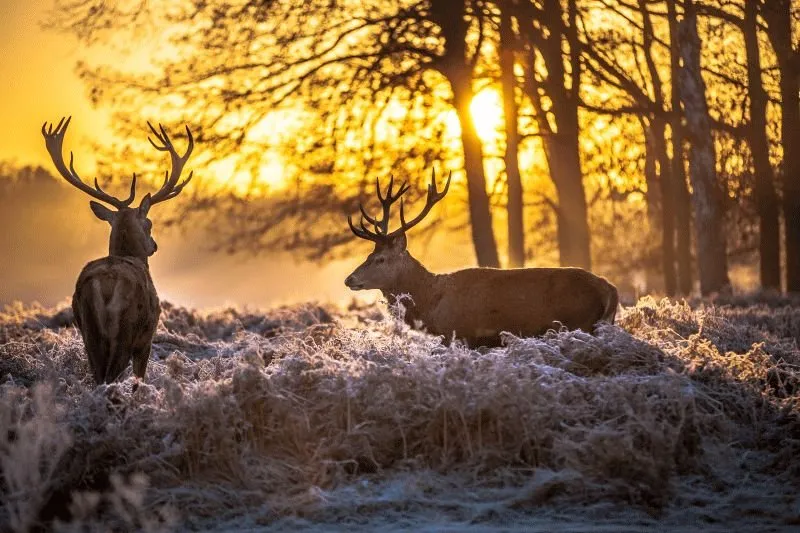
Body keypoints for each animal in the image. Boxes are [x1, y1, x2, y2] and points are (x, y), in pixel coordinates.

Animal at [41, 116, 194, 386]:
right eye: (149, 223)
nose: (154, 245)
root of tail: (106, 285)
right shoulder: (147, 337)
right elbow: (138, 378)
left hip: (88, 330)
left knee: (97, 375)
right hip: (127, 330)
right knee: (110, 377)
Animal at [344, 170, 619, 348]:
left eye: (381, 259)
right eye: (369, 254)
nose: (349, 279)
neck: (431, 303)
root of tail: (609, 289)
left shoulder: (459, 334)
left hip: (578, 322)